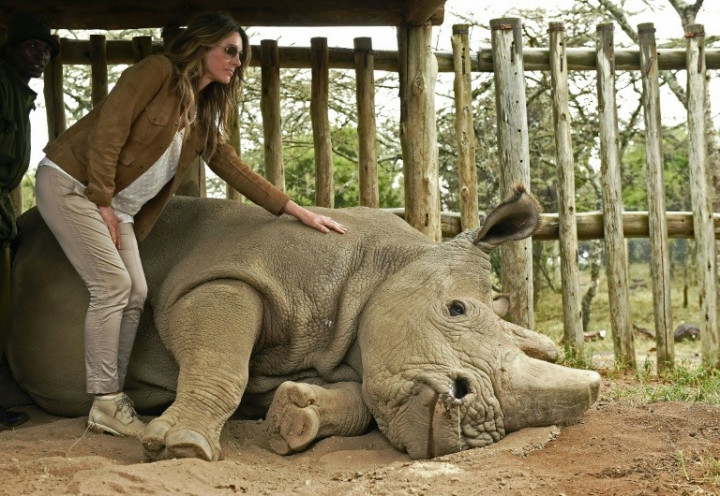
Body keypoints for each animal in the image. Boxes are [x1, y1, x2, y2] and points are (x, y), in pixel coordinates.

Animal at [5, 185, 600, 461]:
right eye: (456, 310)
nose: (473, 424)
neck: (385, 266)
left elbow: (356, 397)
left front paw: (296, 417)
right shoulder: (225, 277)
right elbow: (222, 363)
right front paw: (182, 446)